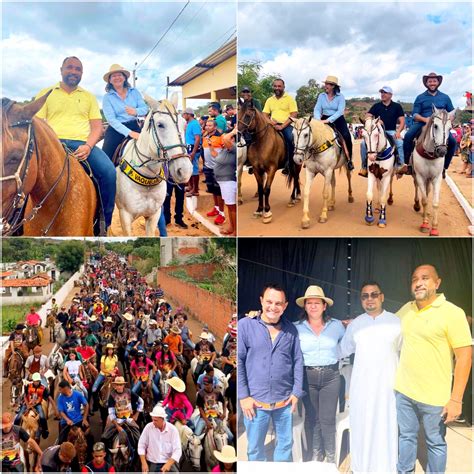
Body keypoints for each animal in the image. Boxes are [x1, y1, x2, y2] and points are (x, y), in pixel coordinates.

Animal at [412, 105, 454, 235]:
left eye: (450, 128)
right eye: (435, 126)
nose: (442, 151)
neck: (429, 154)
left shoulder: (437, 178)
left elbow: (435, 202)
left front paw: (434, 228)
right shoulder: (420, 176)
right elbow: (425, 200)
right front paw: (425, 224)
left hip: (429, 179)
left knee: (427, 190)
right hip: (416, 175)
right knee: (416, 187)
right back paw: (417, 205)